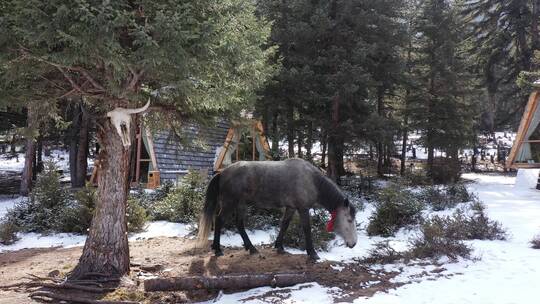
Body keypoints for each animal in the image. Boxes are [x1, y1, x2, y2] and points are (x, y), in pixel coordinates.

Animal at [196, 158, 356, 260]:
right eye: (349, 220)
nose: (353, 244)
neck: (312, 180)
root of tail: (222, 172)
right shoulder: (303, 208)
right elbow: (306, 229)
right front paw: (312, 253)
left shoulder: (291, 208)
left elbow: (284, 225)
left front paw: (279, 246)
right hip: (230, 203)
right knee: (219, 220)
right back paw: (218, 249)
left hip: (241, 204)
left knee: (239, 224)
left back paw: (251, 248)